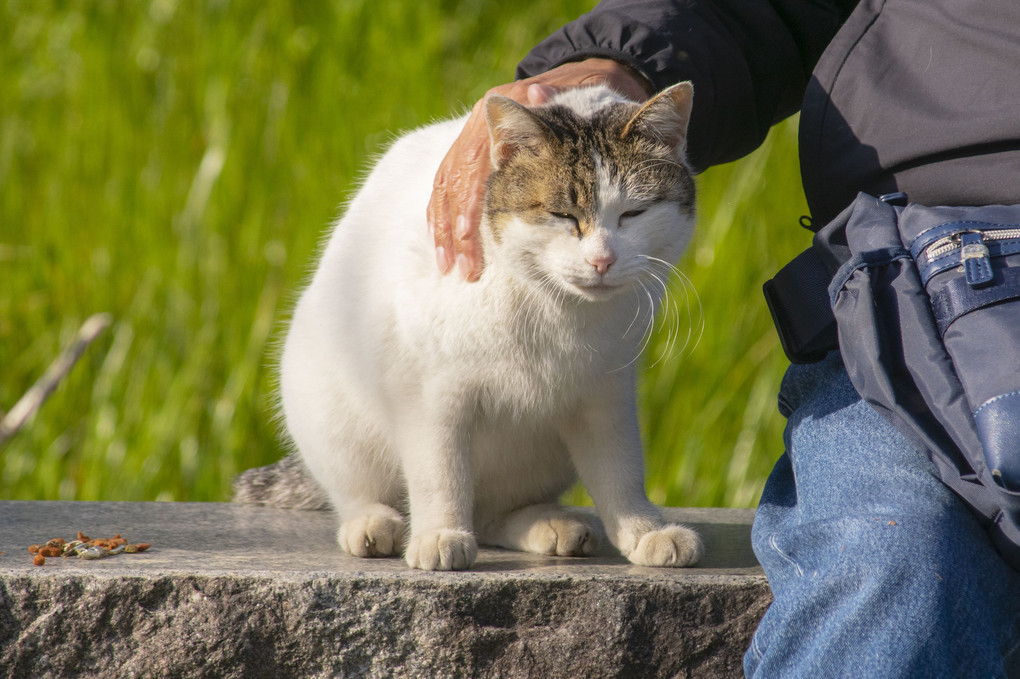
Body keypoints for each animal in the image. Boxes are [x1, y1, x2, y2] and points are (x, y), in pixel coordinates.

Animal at [235, 79, 705, 566]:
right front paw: (439, 533)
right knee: (354, 489)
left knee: (492, 513)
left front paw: (644, 531)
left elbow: (621, 471)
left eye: (634, 214)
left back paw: (545, 524)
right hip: (327, 412)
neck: (552, 307)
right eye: (563, 215)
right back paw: (371, 523)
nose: (602, 260)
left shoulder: (606, 397)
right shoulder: (430, 397)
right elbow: (439, 473)